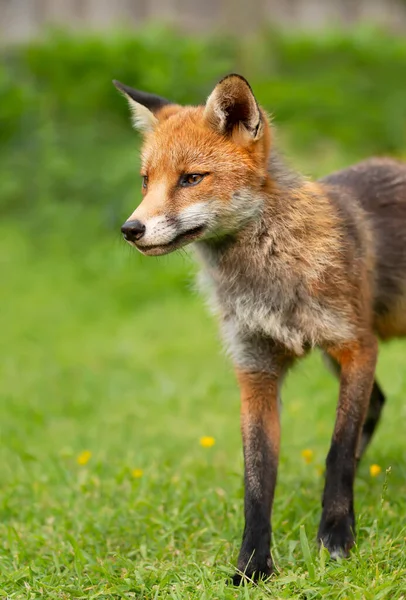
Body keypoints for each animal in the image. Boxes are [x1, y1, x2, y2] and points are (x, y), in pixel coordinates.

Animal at [112, 72, 406, 584]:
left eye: (191, 178)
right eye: (146, 181)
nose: (131, 229)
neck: (271, 275)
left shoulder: (356, 345)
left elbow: (336, 449)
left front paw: (336, 536)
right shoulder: (255, 369)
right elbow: (256, 479)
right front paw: (252, 565)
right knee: (379, 404)